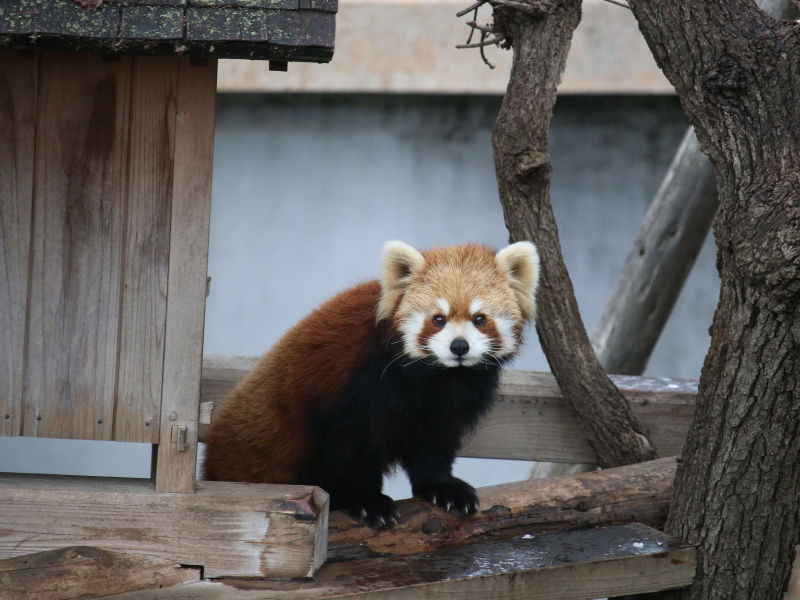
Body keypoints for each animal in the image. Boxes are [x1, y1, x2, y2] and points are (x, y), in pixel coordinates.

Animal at [203, 241, 540, 528]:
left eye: (479, 318)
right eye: (438, 319)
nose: (459, 346)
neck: (434, 377)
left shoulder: (447, 402)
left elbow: (434, 443)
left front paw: (442, 486)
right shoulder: (355, 388)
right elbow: (353, 448)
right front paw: (368, 501)